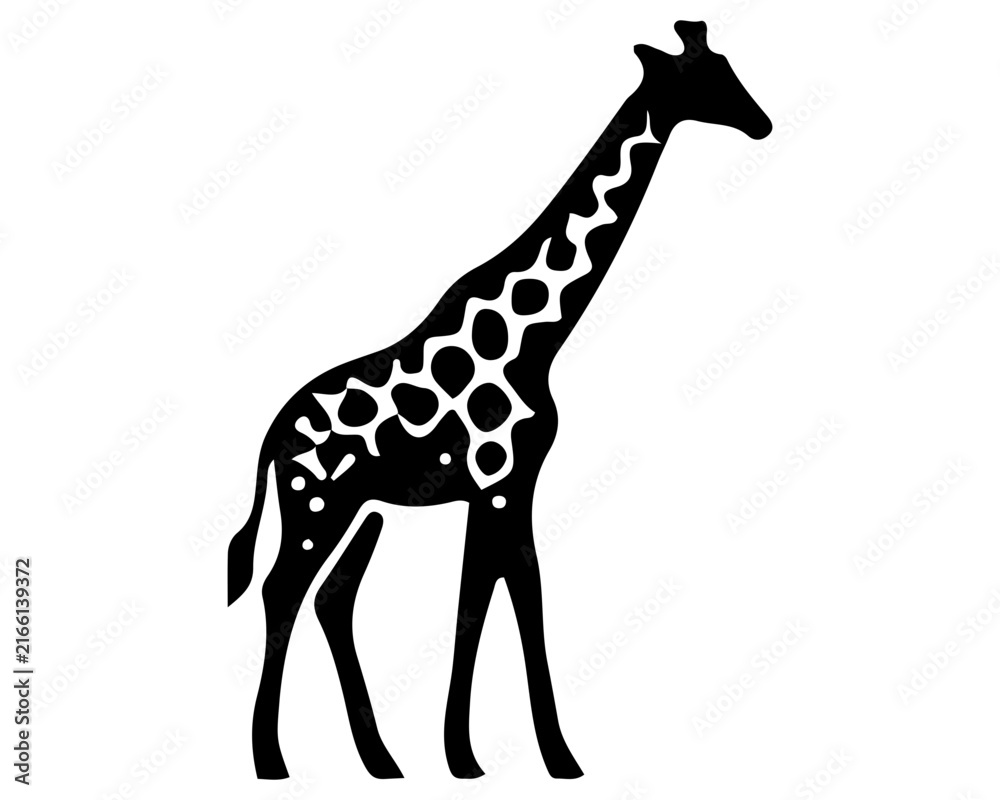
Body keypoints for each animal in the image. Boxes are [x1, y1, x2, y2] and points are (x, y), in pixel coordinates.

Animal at [228, 20, 771, 781]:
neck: (536, 338)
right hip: (316, 501)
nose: (763, 123)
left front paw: (503, 755)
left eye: (726, 66)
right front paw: (495, 757)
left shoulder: (506, 488)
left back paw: (380, 760)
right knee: (284, 590)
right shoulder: (498, 483)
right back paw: (270, 759)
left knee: (333, 597)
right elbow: (493, 601)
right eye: (707, 78)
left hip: (363, 508)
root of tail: (273, 434)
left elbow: (499, 597)